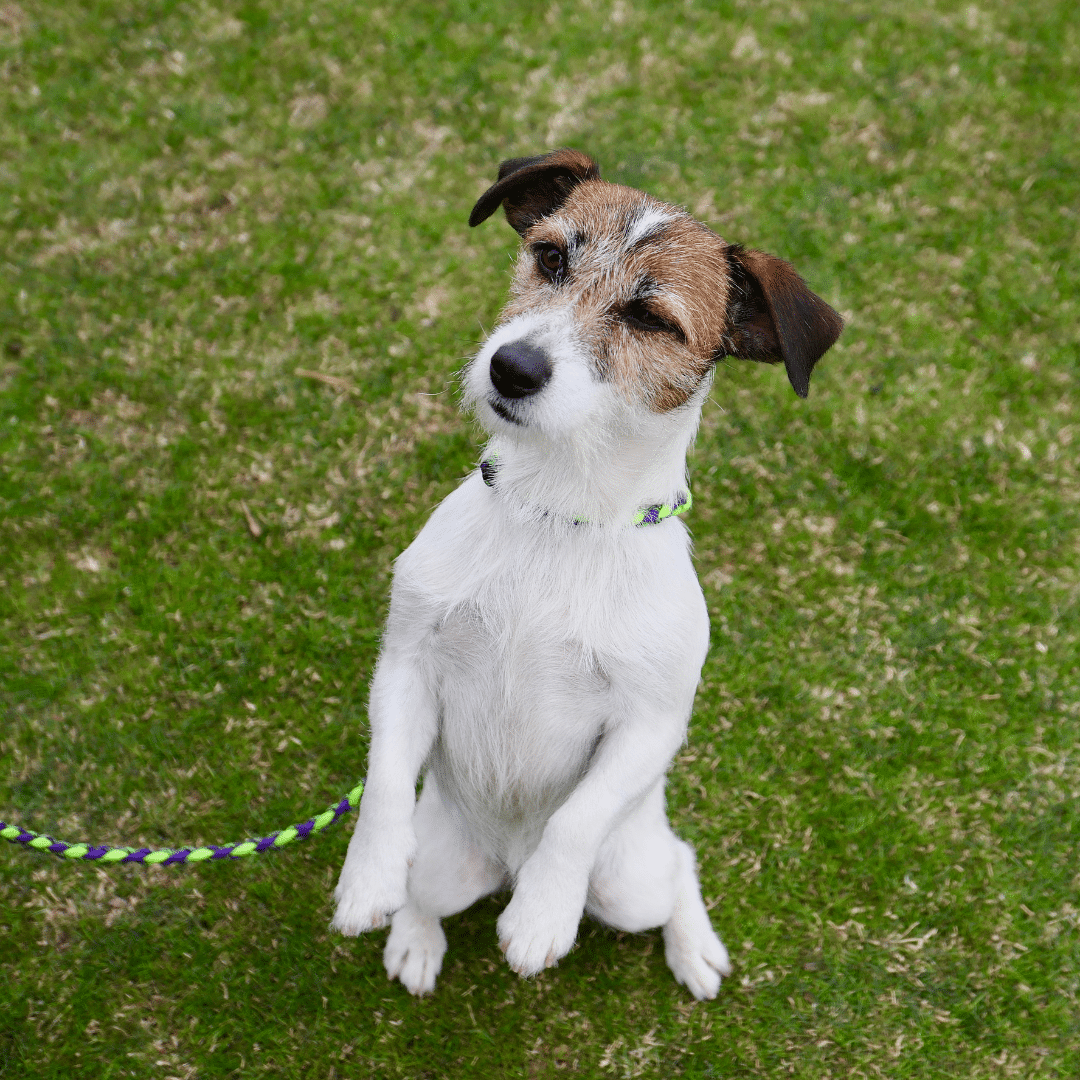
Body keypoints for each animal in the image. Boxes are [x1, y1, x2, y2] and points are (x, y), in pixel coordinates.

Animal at [330, 147, 842, 997]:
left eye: (651, 319)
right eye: (549, 257)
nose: (512, 367)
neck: (555, 514)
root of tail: (501, 864)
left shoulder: (649, 724)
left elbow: (575, 819)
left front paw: (541, 917)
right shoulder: (407, 660)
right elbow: (385, 776)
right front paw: (367, 878)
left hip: (629, 880)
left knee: (677, 867)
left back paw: (690, 947)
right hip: (443, 865)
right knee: (428, 894)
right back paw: (414, 937)